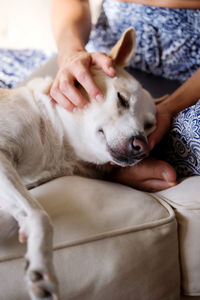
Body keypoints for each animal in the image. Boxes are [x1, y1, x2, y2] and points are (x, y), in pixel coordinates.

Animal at [0, 28, 156, 300]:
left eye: (149, 126)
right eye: (122, 100)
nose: (142, 148)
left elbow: (30, 211)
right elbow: (39, 214)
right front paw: (42, 270)